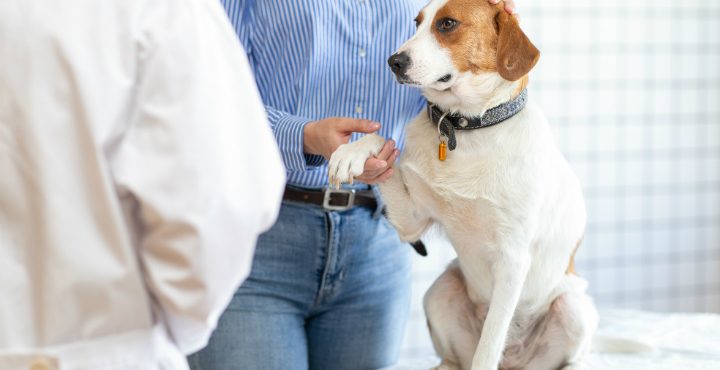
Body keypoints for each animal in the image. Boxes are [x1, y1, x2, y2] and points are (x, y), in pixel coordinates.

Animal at [330, 0, 600, 370]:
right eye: (416, 22)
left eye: (447, 24)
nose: (393, 61)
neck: (465, 126)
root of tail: (512, 361)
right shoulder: (413, 221)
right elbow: (381, 139)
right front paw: (353, 152)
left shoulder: (513, 259)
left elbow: (487, 350)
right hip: (440, 291)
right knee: (456, 358)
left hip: (574, 308)